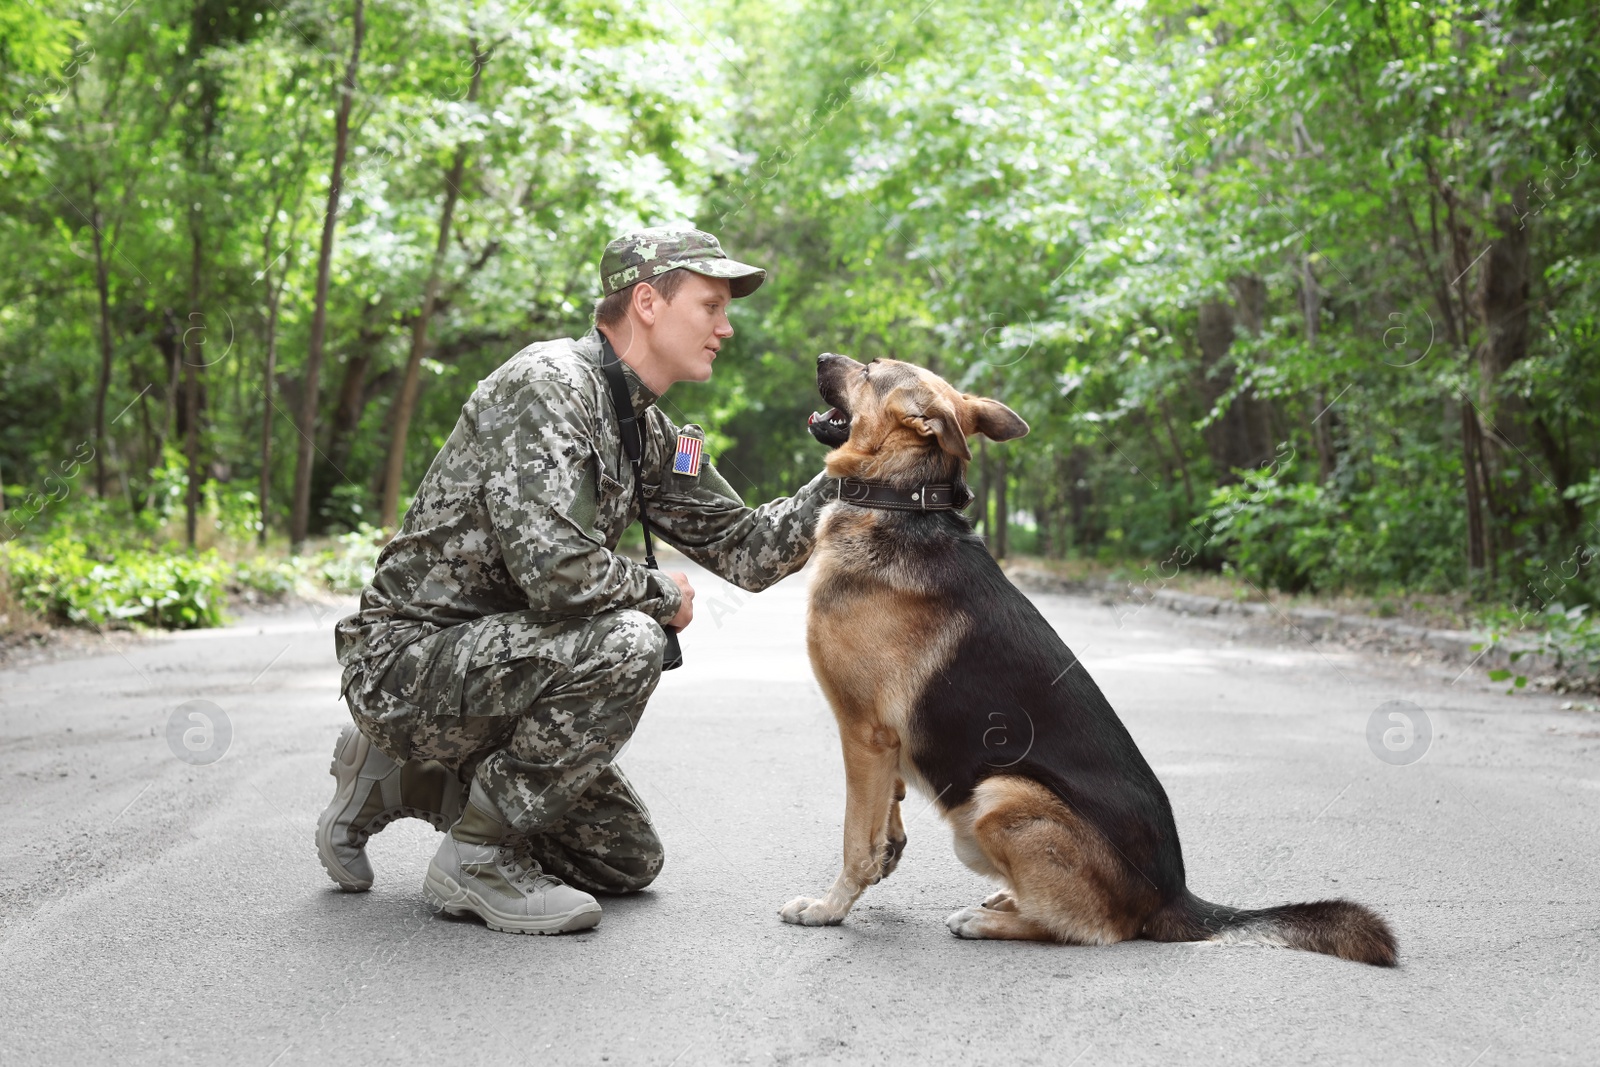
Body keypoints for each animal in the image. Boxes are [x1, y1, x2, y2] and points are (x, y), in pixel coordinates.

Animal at [780, 356, 1395, 966]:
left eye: (870, 368)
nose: (821, 359)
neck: (901, 497)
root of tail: (1173, 896)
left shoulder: (864, 734)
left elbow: (854, 839)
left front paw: (829, 909)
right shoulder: (884, 744)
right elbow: (885, 817)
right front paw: (886, 851)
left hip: (1000, 794)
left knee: (1091, 926)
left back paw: (991, 920)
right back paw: (1004, 900)